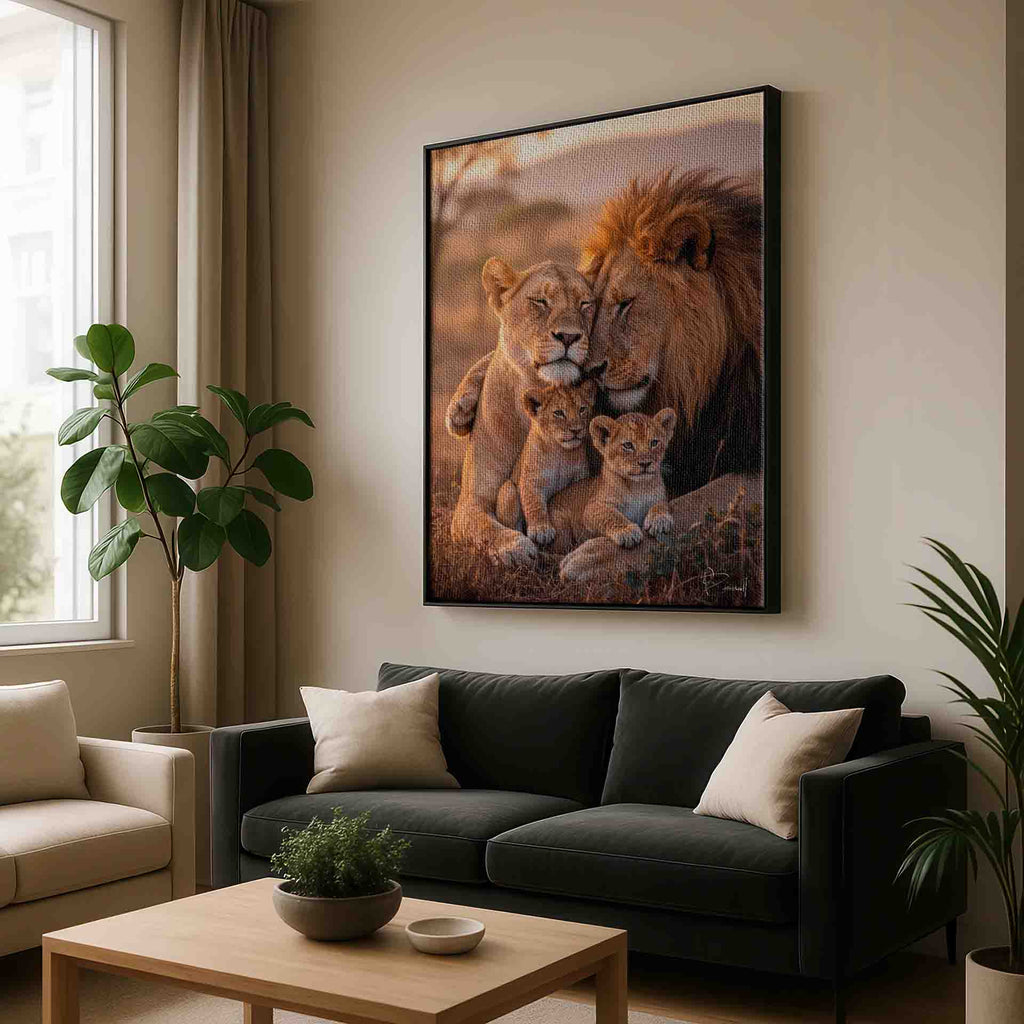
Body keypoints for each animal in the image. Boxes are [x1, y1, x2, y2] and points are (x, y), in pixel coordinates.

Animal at [495, 378, 597, 546]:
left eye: (582, 409)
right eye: (558, 413)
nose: (576, 430)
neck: (559, 452)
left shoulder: (580, 475)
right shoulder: (530, 480)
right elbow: (534, 504)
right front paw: (541, 530)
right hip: (508, 488)